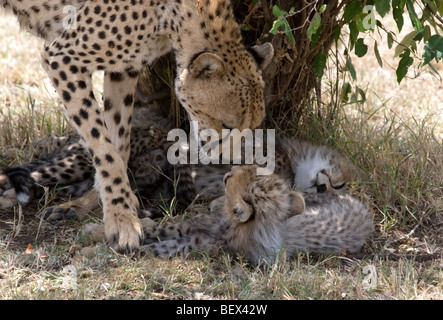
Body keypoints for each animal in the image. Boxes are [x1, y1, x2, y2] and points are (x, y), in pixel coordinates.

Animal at [0, 0, 274, 251]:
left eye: (253, 126)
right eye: (226, 125)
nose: (234, 162)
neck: (175, 18)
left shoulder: (123, 69)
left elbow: (119, 146)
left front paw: (99, 207)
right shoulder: (63, 59)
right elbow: (104, 149)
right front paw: (121, 220)